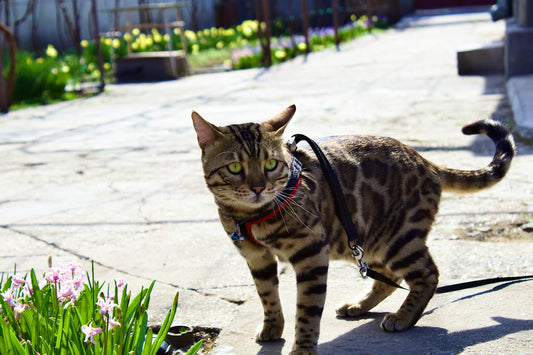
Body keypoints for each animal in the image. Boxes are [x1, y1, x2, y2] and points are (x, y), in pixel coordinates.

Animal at [189, 105, 512, 355]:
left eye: (270, 164)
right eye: (234, 168)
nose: (258, 187)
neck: (251, 216)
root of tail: (426, 161)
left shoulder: (311, 252)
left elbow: (307, 310)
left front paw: (303, 347)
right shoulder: (257, 258)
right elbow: (267, 295)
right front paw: (273, 326)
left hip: (398, 238)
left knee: (427, 274)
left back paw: (403, 317)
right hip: (371, 240)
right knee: (389, 278)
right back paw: (359, 305)